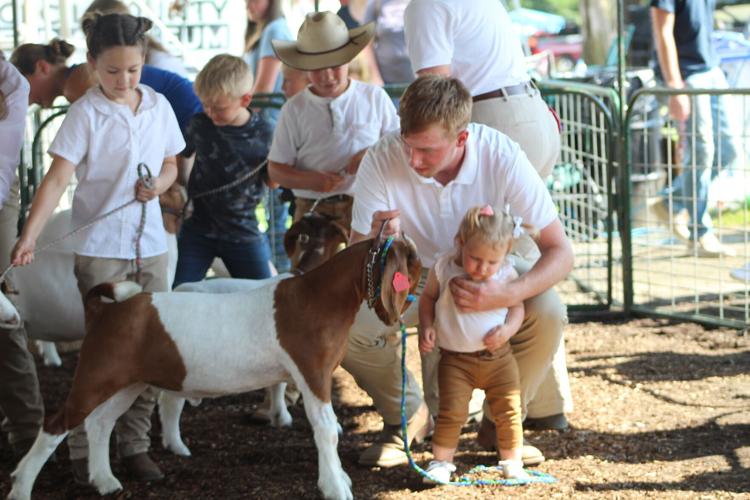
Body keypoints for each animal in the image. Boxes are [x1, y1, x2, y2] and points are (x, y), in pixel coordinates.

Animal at [6, 235, 421, 500]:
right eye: (413, 264)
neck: (316, 298)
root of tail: (106, 310)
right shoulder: (312, 373)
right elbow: (325, 430)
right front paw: (336, 487)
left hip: (126, 381)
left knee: (100, 422)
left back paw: (106, 481)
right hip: (95, 373)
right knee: (56, 424)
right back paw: (21, 487)